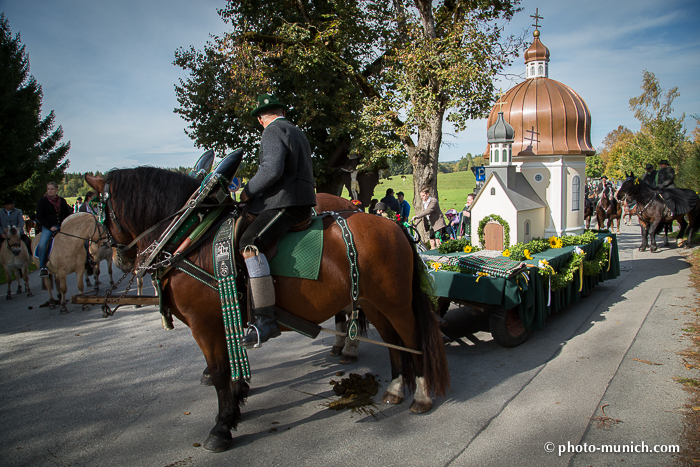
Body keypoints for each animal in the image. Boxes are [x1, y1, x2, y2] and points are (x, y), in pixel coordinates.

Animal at [86, 168, 448, 454]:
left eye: (100, 210)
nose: (115, 258)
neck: (191, 238)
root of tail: (392, 225)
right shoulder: (223, 319)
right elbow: (232, 369)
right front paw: (236, 404)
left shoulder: (204, 325)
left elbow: (220, 372)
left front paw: (222, 426)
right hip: (375, 304)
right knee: (392, 342)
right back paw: (395, 388)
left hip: (395, 304)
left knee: (412, 340)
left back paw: (421, 395)